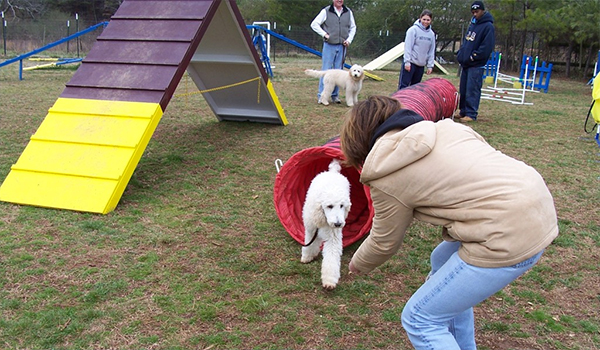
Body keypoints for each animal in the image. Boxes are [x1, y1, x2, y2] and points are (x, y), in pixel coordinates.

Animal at [300, 159, 352, 290]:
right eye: (329, 206)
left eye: (342, 206)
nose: (338, 224)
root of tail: (332, 172)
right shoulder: (311, 229)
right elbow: (310, 243)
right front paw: (307, 256)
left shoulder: (333, 238)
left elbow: (331, 258)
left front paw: (329, 281)